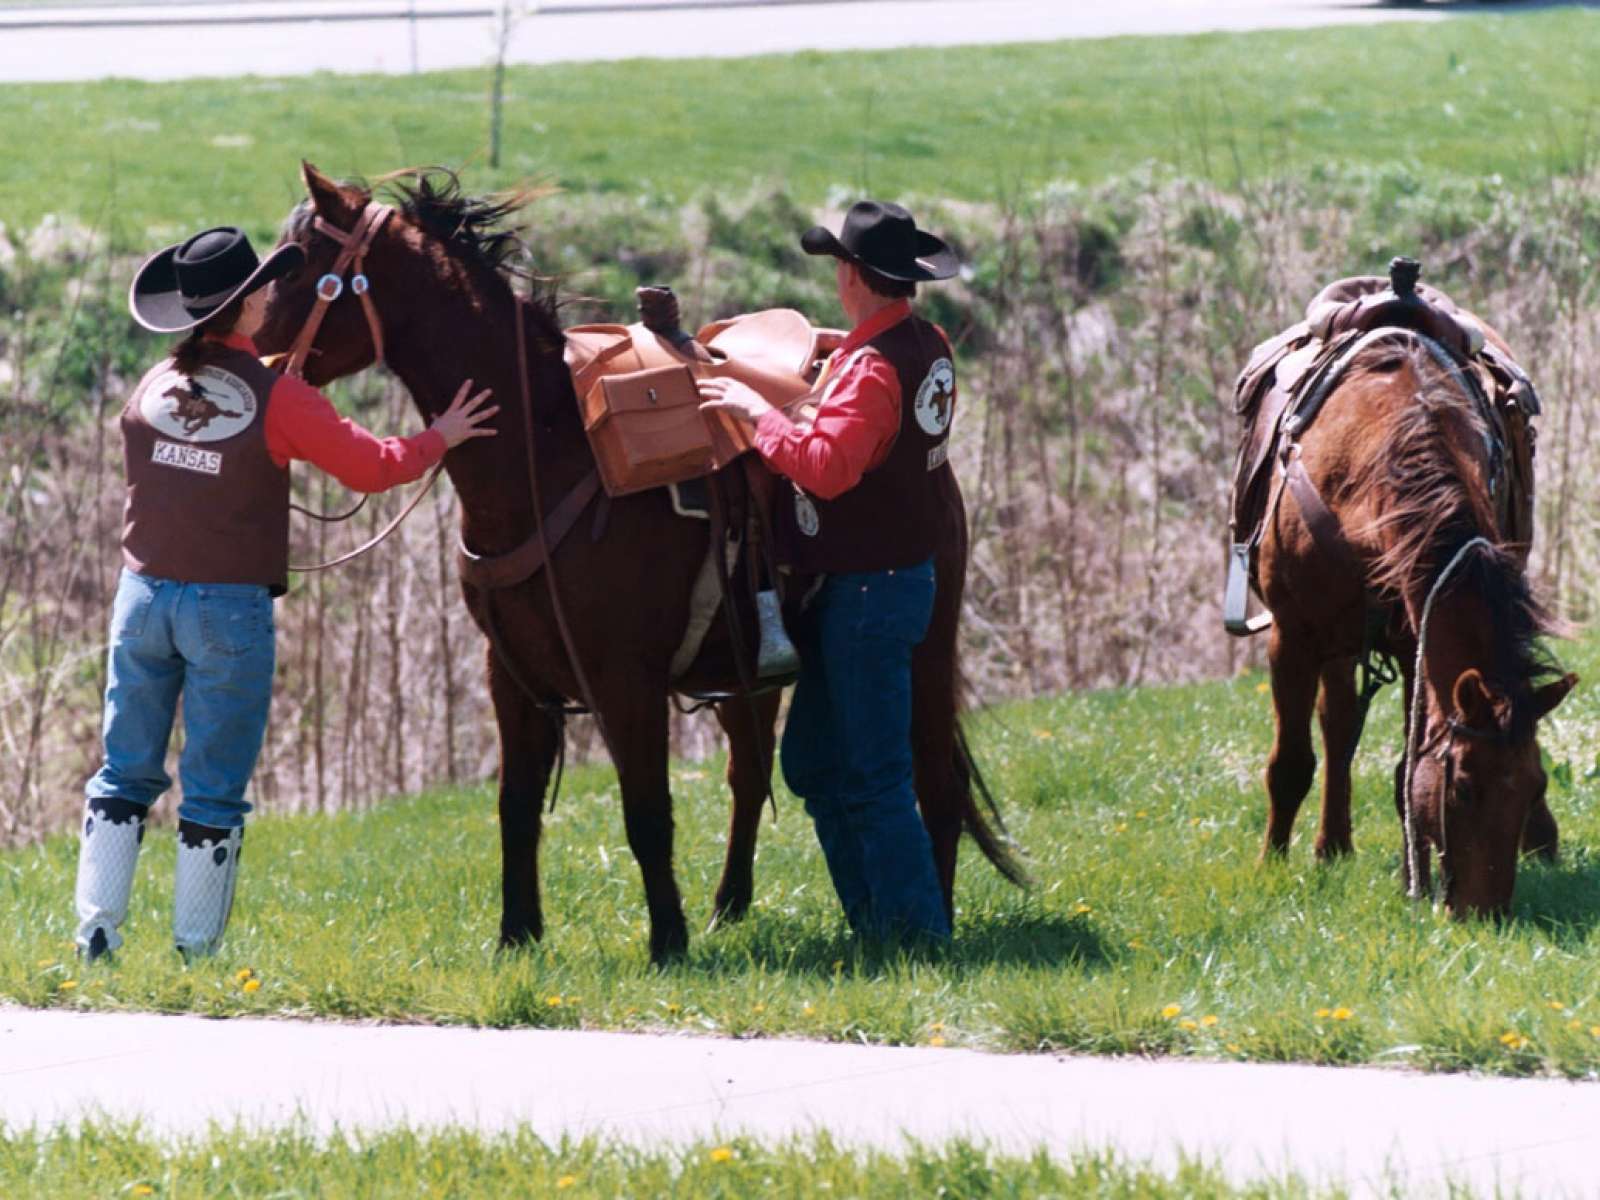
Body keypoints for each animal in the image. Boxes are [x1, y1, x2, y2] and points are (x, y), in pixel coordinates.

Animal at [252, 164, 1024, 966]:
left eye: (299, 265)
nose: (258, 363)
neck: (550, 457)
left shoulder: (627, 681)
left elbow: (646, 810)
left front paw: (667, 943)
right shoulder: (512, 677)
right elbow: (516, 806)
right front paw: (517, 935)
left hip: (921, 650)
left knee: (933, 780)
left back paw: (930, 920)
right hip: (756, 671)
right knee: (754, 775)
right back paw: (731, 908)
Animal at [1254, 334, 1568, 915]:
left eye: (1536, 785)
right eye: (1463, 787)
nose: (1486, 912)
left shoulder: (1412, 643)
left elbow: (1407, 767)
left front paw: (1410, 878)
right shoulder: (1292, 637)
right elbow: (1290, 763)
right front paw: (1271, 864)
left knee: (1341, 725)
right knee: (1335, 728)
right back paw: (1330, 846)